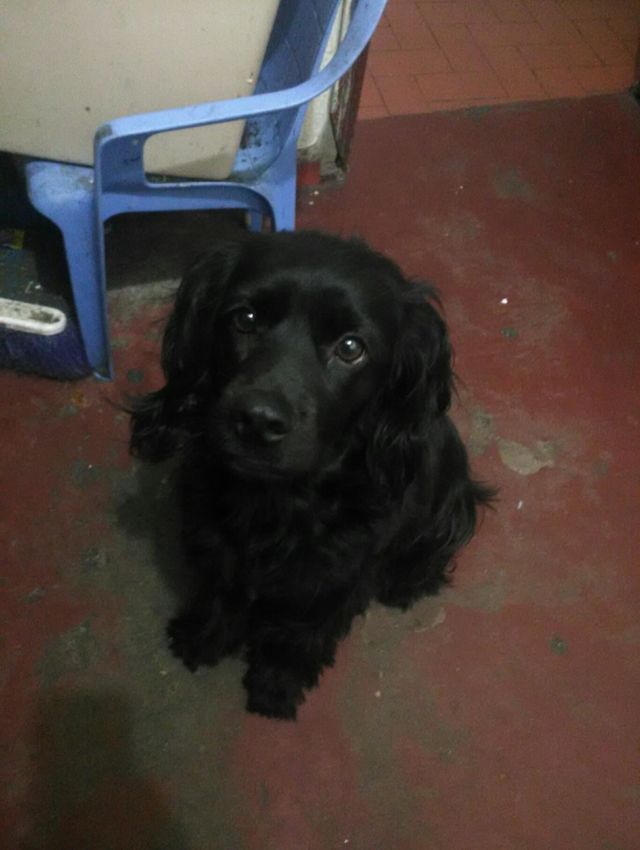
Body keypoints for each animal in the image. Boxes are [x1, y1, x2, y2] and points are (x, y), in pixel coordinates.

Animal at [129, 230, 493, 720]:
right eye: (245, 318)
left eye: (351, 348)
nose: (258, 421)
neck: (276, 499)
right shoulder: (218, 540)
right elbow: (220, 590)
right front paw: (203, 637)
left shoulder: (339, 576)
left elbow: (301, 633)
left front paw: (276, 685)